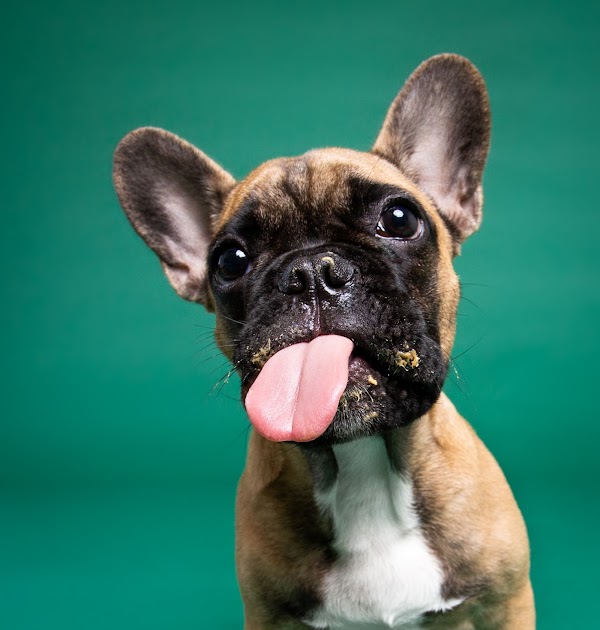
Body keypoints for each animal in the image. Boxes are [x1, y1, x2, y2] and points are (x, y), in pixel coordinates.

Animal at [113, 54, 534, 629]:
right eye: (229, 261)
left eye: (399, 218)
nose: (312, 272)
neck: (363, 464)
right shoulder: (268, 614)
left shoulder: (506, 602)